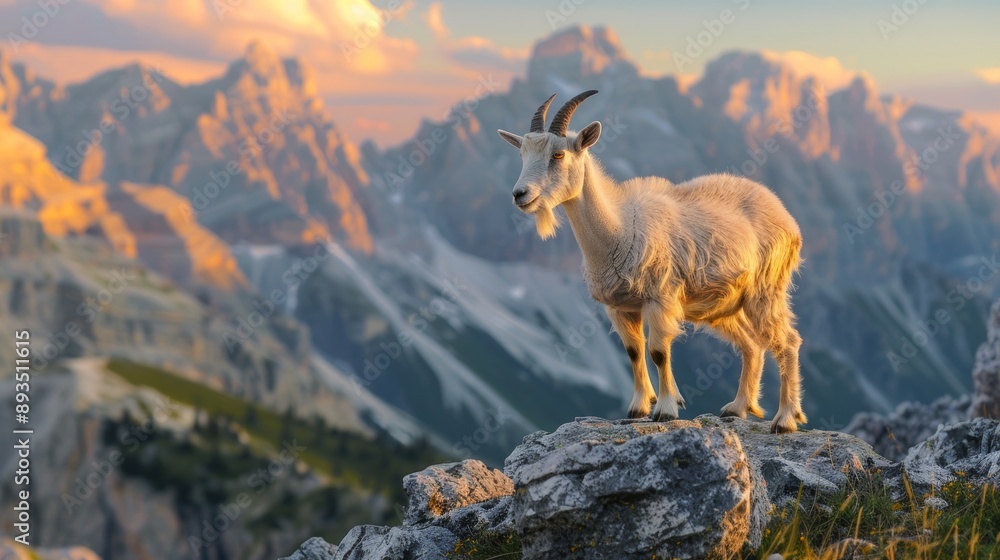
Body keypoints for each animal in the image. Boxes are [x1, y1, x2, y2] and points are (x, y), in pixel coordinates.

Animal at [497, 90, 807, 433]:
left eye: (558, 155)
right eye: (523, 154)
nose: (520, 195)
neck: (619, 229)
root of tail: (786, 216)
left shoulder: (660, 297)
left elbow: (659, 352)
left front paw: (667, 409)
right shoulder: (619, 307)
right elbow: (634, 352)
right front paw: (638, 408)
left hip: (766, 288)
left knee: (788, 341)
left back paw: (785, 419)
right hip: (724, 303)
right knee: (752, 344)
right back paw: (738, 408)